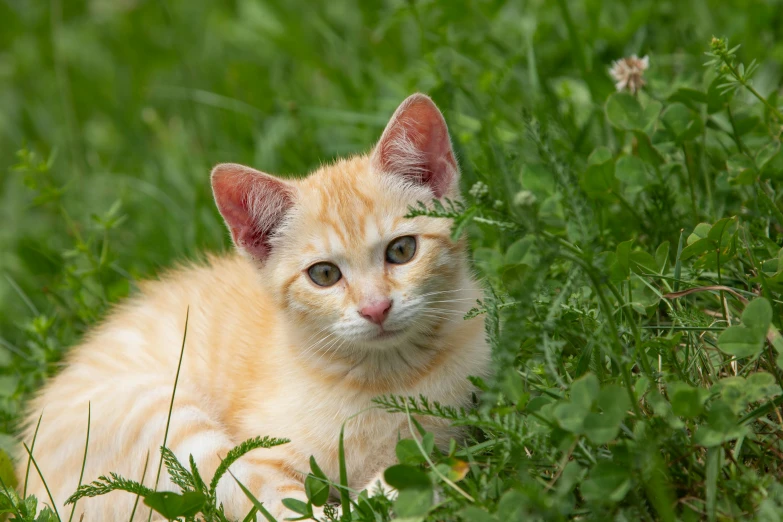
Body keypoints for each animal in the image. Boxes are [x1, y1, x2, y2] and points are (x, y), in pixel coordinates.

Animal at [16, 94, 490, 520]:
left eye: (402, 250)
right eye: (324, 275)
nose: (376, 308)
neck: (389, 375)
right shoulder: (259, 455)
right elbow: (278, 505)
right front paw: (389, 491)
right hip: (157, 417)